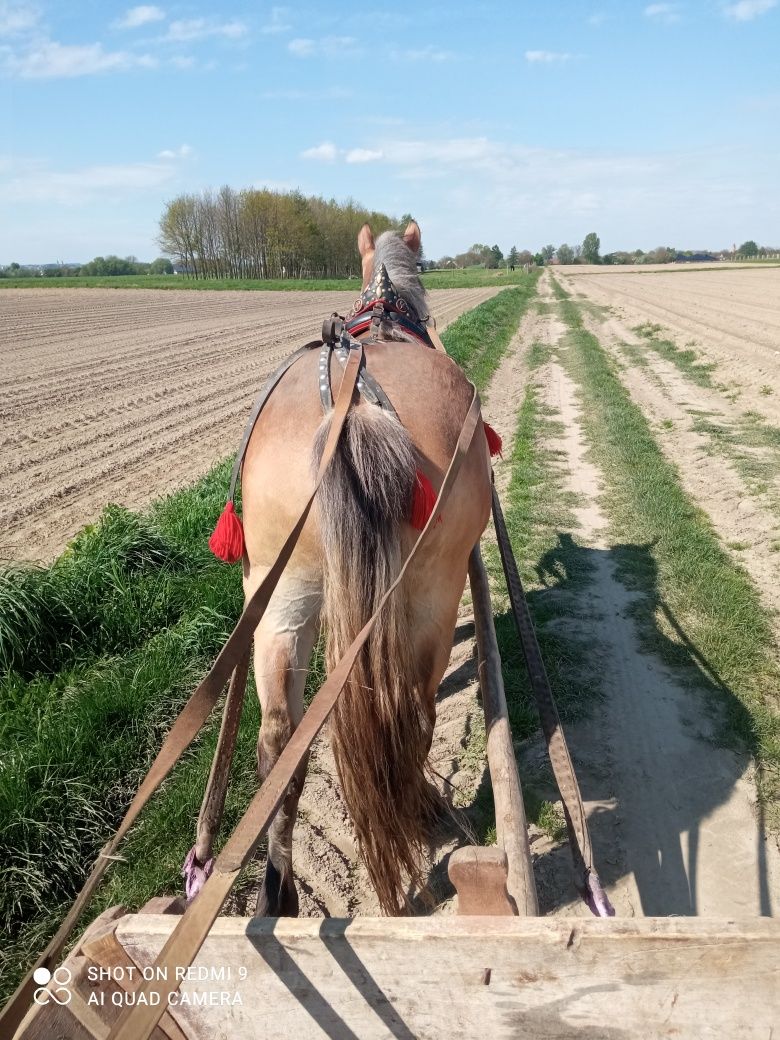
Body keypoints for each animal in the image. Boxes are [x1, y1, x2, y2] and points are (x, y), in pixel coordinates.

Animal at [241, 223, 490, 915]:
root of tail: (349, 410)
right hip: (432, 587)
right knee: (414, 703)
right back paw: (422, 806)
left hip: (278, 590)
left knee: (278, 738)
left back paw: (279, 888)